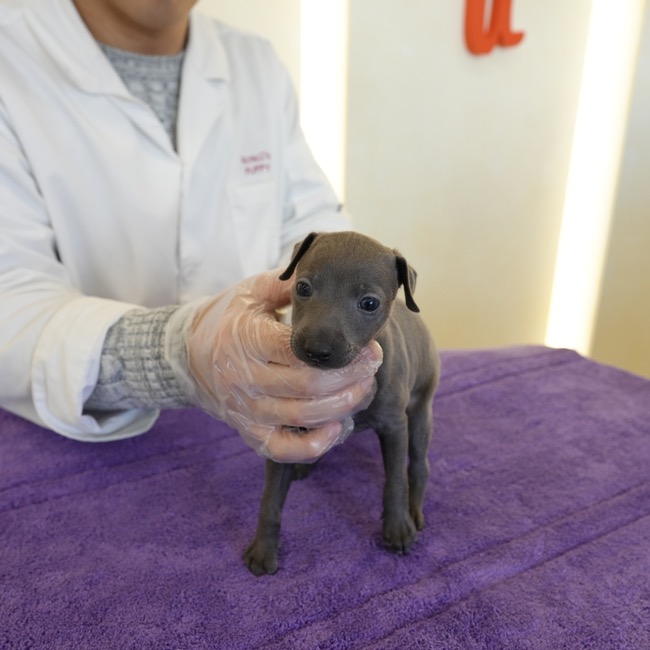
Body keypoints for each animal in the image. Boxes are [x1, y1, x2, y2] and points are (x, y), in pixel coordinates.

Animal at [243, 231, 440, 576]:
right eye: (303, 288)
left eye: (369, 303)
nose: (317, 350)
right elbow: (270, 497)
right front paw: (264, 547)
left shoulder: (394, 426)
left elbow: (395, 480)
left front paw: (397, 526)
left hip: (420, 411)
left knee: (418, 465)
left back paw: (414, 510)